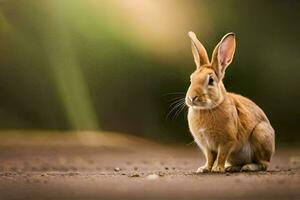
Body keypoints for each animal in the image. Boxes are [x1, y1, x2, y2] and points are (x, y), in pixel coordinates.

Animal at [186, 32, 276, 173]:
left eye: (211, 80)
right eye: (191, 78)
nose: (192, 98)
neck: (209, 107)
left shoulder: (227, 141)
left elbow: (221, 155)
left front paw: (217, 169)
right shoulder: (207, 147)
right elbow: (210, 157)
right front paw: (204, 169)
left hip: (261, 135)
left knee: (263, 164)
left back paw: (248, 167)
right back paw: (232, 168)